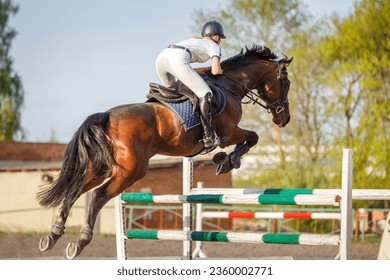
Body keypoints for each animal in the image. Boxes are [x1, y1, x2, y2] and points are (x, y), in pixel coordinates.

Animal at [37, 44, 292, 260]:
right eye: (287, 83)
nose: (284, 119)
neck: (231, 85)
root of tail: (106, 116)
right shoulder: (229, 133)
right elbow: (252, 137)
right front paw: (228, 161)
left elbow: (249, 139)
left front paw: (223, 160)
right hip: (131, 171)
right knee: (99, 195)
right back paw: (80, 242)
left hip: (101, 168)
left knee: (76, 189)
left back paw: (53, 235)